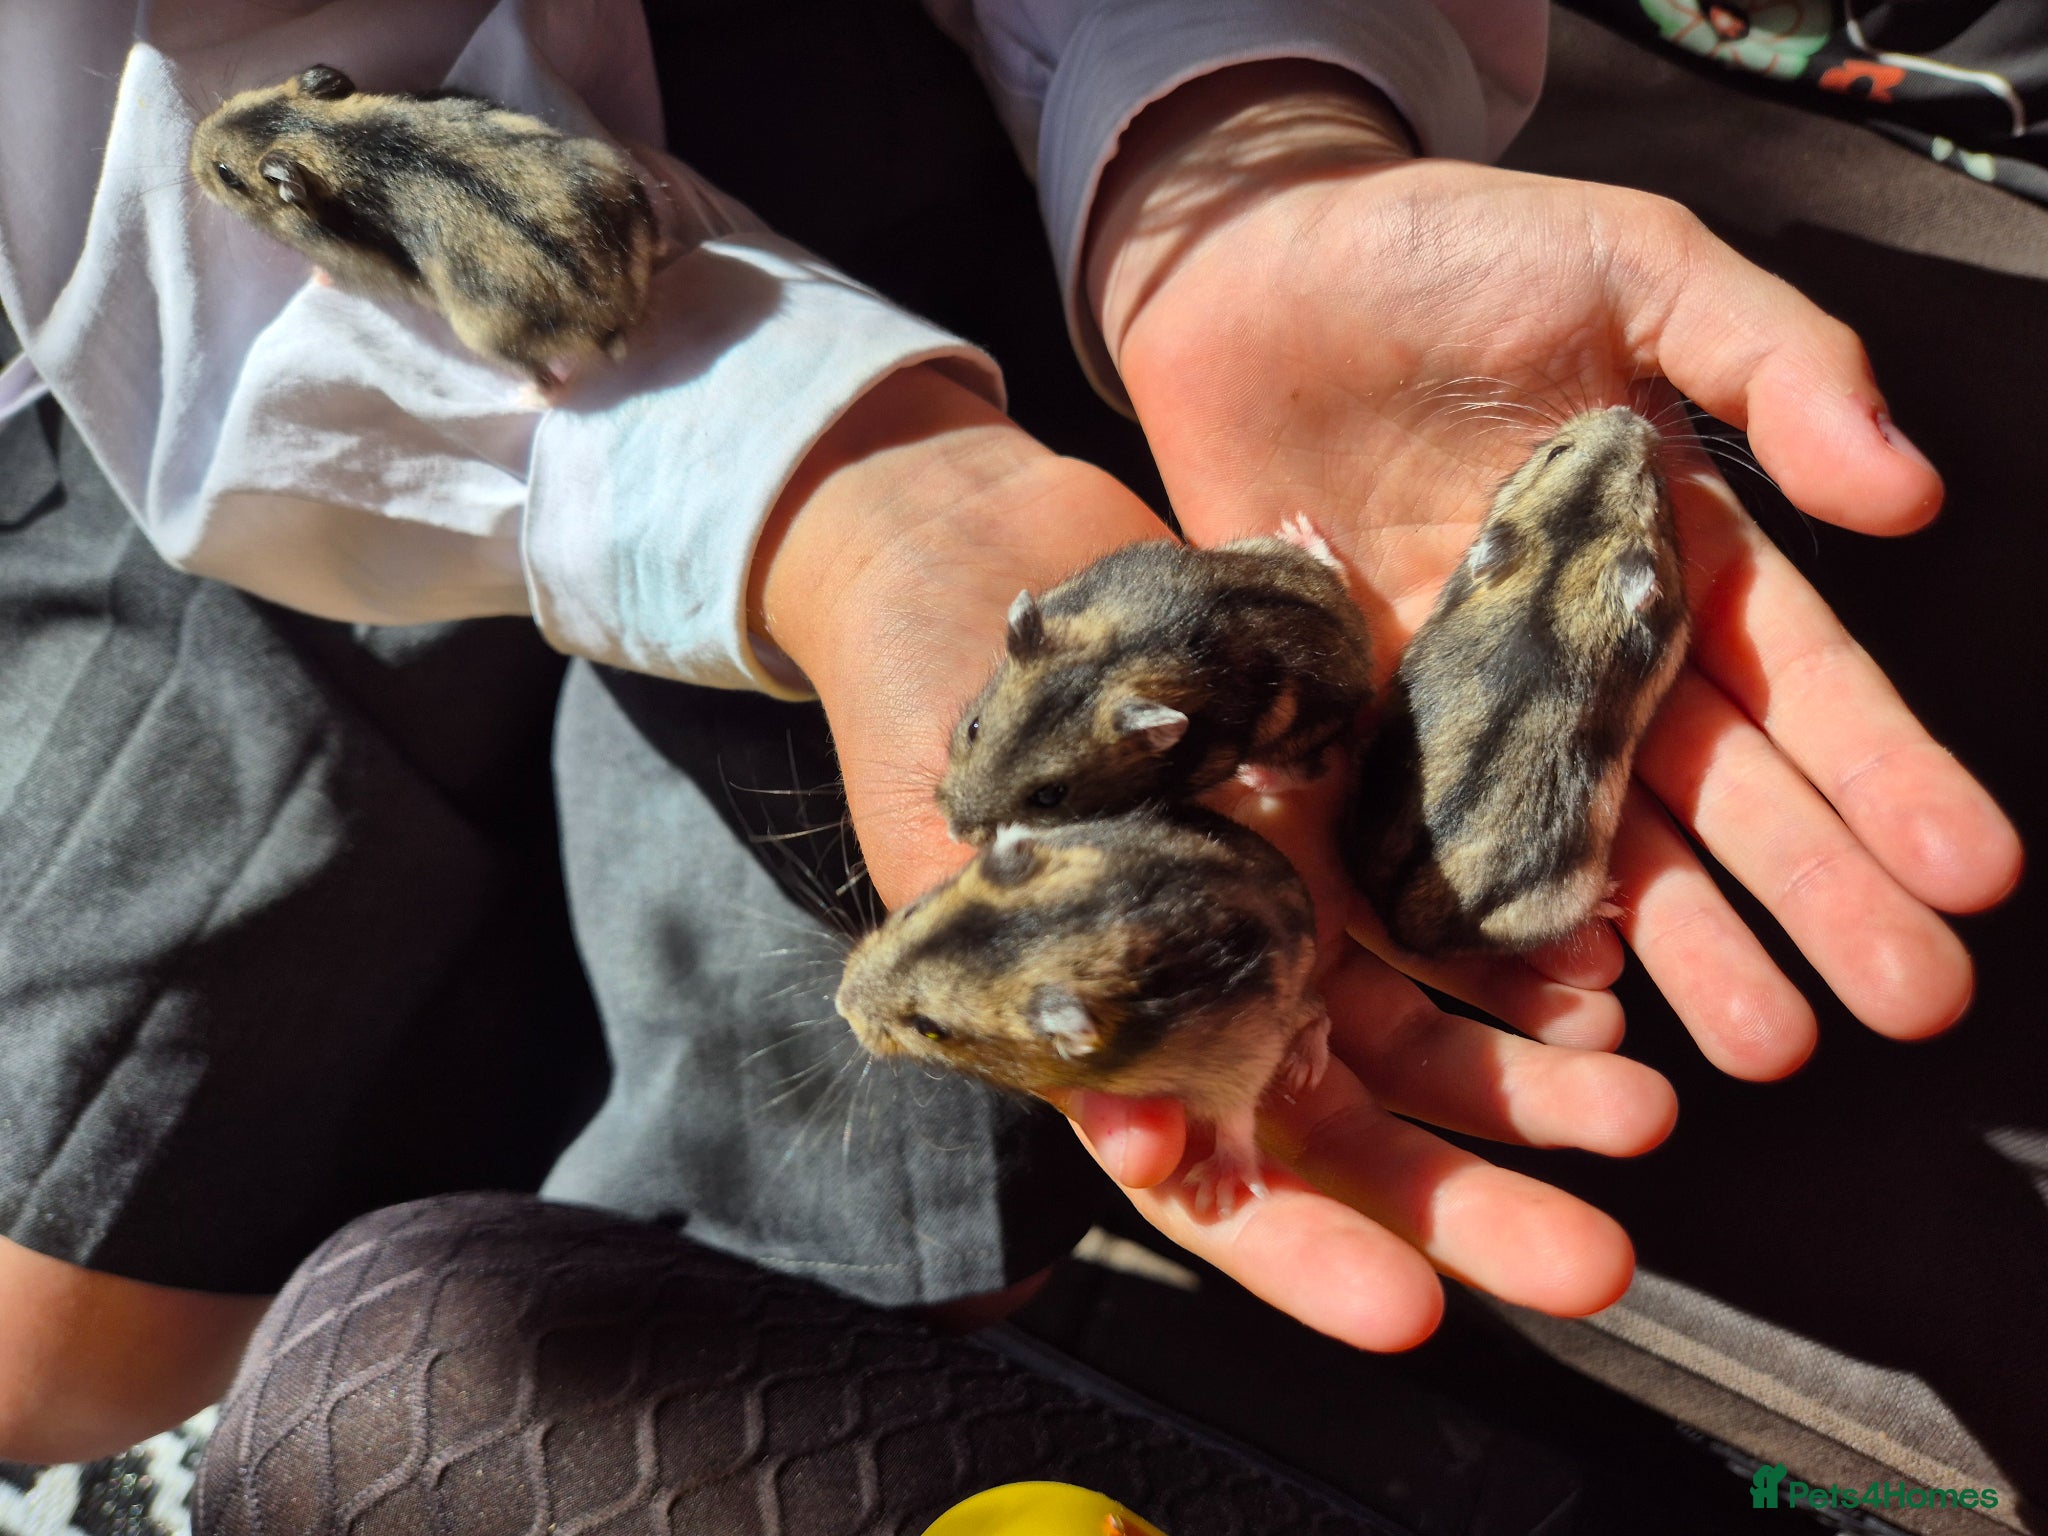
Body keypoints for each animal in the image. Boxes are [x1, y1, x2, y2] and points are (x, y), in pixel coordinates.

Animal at [191, 65, 655, 386]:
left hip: (483, 334)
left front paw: (314, 276)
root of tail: (614, 305)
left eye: (226, 175)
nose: (191, 148)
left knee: (540, 376)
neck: (329, 137)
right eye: (242, 98)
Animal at [835, 808, 1331, 1214]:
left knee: (1317, 1014)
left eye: (930, 1028)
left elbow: (1236, 1120)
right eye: (908, 913)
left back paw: (1303, 1071)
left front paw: (1215, 1196)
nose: (840, 1006)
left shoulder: (1243, 1055)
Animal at [937, 516, 1372, 845]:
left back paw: (1256, 776)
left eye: (1049, 796)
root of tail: (1364, 646)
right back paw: (1297, 530)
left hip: (1299, 731)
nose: (955, 833)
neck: (1117, 664)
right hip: (1266, 550)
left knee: (1307, 772)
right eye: (974, 728)